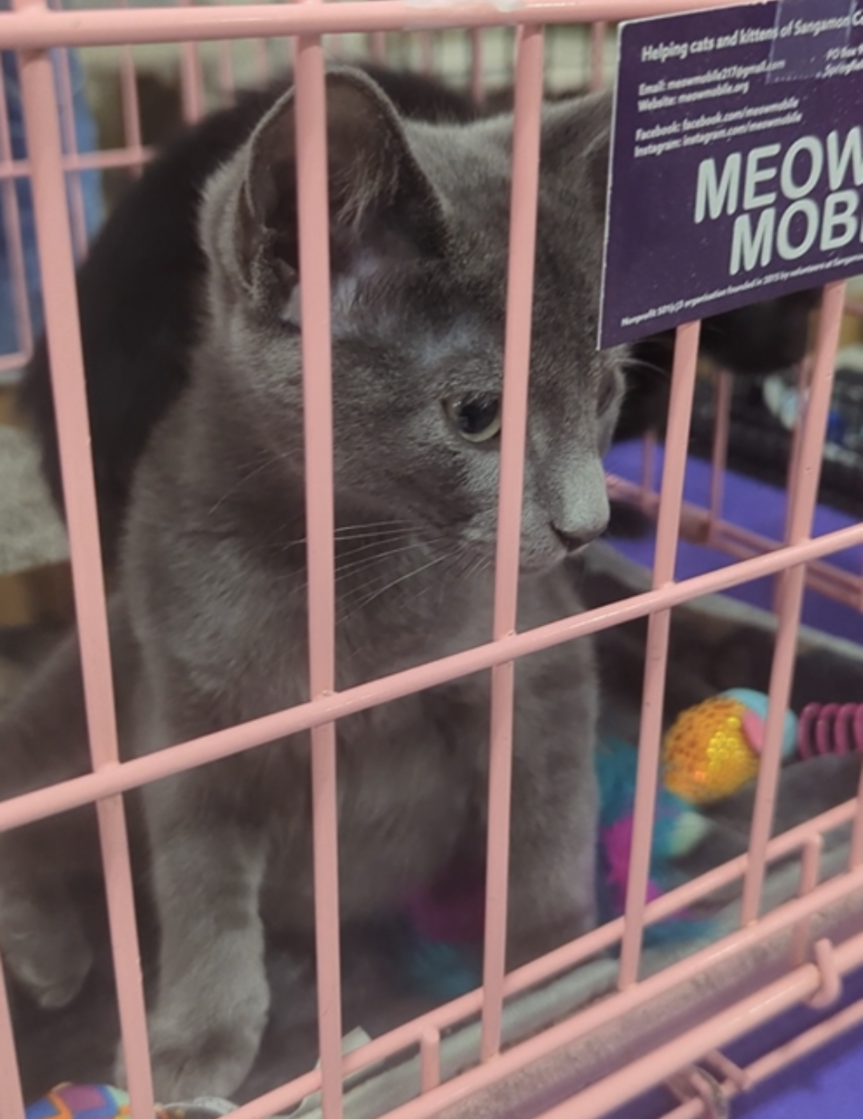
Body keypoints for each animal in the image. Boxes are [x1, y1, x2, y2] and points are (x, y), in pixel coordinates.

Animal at [0, 68, 622, 1099]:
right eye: (476, 413)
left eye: (606, 393)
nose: (589, 523)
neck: (343, 573)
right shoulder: (189, 720)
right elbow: (201, 885)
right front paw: (193, 1043)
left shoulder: (536, 665)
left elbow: (546, 816)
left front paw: (549, 956)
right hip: (68, 711)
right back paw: (54, 956)